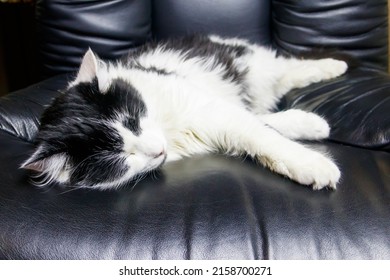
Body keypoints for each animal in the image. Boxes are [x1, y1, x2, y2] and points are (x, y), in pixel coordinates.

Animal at [20, 34, 348, 190]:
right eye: (120, 159)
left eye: (133, 121)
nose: (157, 150)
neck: (169, 131)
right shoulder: (221, 116)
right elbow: (263, 127)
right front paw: (311, 127)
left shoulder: (211, 108)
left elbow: (266, 137)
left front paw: (313, 162)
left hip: (256, 67)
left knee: (291, 68)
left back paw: (335, 65)